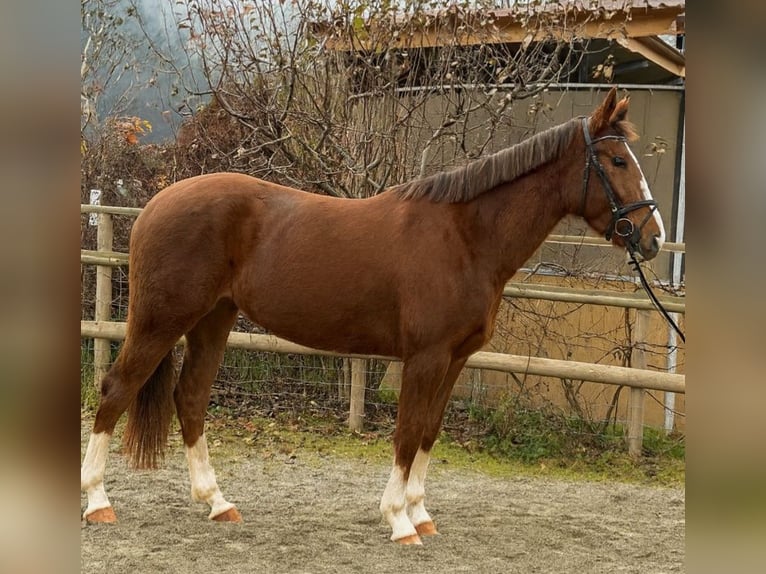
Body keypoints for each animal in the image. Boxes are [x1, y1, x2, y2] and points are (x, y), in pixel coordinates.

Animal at [81, 88, 666, 544]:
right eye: (618, 162)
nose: (654, 238)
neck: (465, 237)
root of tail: (154, 206)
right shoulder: (425, 357)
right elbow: (406, 433)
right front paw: (399, 522)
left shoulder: (454, 360)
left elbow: (429, 431)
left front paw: (421, 514)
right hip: (161, 321)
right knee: (116, 390)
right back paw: (98, 503)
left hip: (213, 321)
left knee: (191, 398)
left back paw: (218, 502)